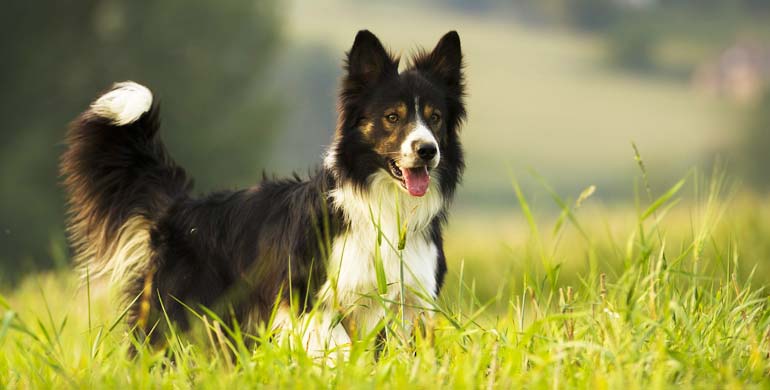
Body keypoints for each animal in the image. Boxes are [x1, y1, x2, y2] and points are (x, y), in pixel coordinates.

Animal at [60, 29, 464, 354]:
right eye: (392, 117)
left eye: (435, 118)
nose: (427, 150)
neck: (386, 206)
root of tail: (179, 207)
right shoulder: (314, 303)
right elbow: (338, 354)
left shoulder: (412, 304)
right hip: (172, 317)